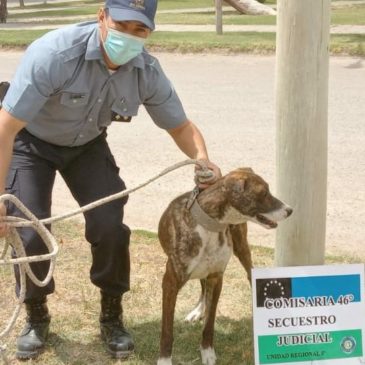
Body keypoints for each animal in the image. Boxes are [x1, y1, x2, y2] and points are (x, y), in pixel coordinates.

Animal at [157, 168, 292, 364]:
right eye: (264, 193)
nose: (290, 210)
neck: (209, 226)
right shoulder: (170, 283)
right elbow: (167, 330)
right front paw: (164, 359)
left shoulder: (216, 277)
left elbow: (209, 323)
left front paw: (207, 352)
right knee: (202, 286)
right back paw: (198, 310)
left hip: (241, 247)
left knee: (249, 274)